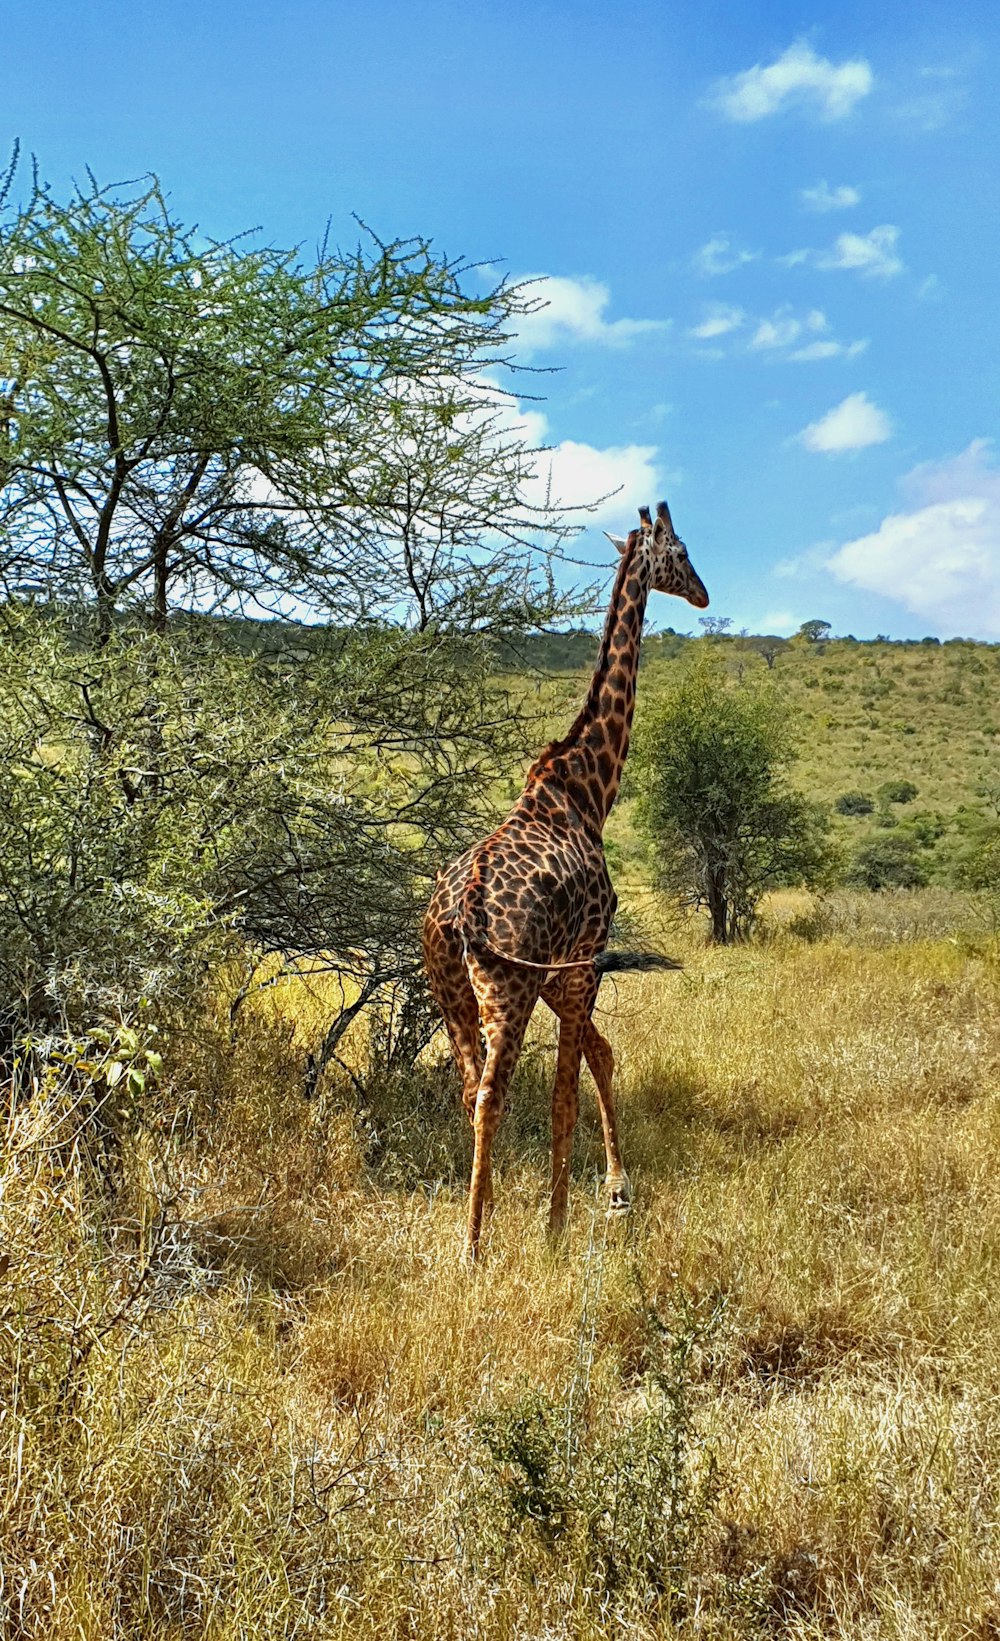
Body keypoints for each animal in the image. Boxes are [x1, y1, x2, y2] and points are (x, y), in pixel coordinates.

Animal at [420, 495, 709, 1253]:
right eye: (682, 552)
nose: (704, 593)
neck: (587, 787)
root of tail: (456, 914)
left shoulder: (560, 971)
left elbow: (598, 1059)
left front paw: (613, 1191)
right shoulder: (584, 959)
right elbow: (564, 1091)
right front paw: (558, 1225)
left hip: (451, 990)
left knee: (468, 1089)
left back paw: (484, 1218)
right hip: (505, 991)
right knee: (493, 1093)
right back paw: (474, 1247)